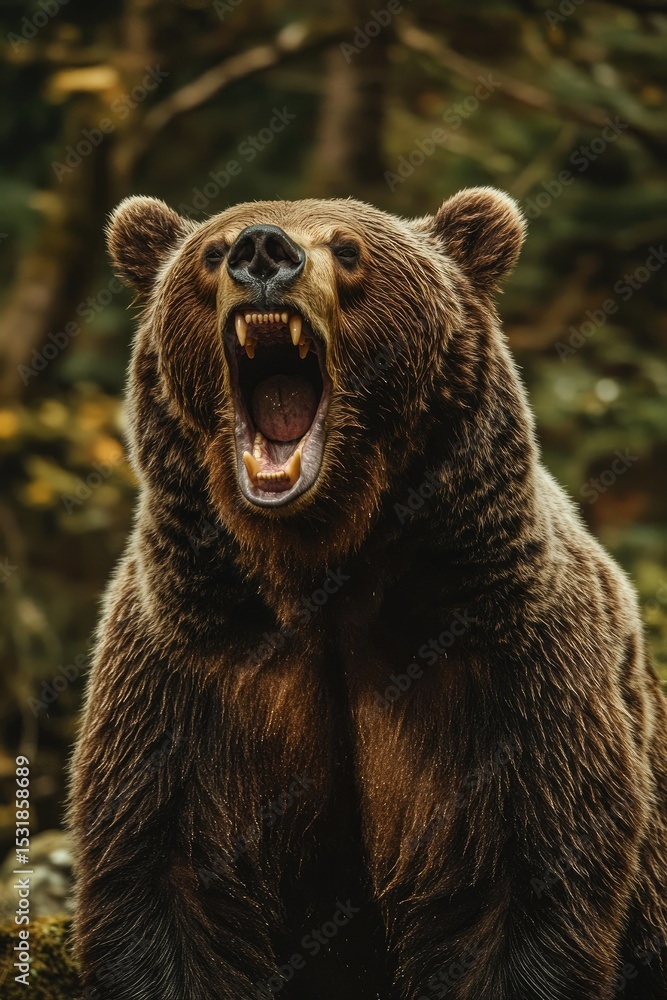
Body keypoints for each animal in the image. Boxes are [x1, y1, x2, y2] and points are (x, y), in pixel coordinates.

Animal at [69, 188, 667, 1000]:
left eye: (348, 249)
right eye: (211, 253)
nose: (262, 251)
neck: (322, 565)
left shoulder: (508, 670)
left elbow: (524, 885)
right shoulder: (191, 670)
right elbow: (167, 882)